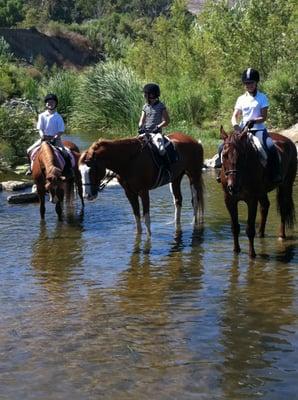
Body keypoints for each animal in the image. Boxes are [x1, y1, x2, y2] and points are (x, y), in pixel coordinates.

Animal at [219, 125, 296, 258]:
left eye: (242, 155)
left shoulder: (251, 200)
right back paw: (261, 233)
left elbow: (250, 229)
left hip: (286, 185)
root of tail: (289, 141)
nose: (233, 187)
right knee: (265, 206)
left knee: (283, 208)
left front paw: (252, 255)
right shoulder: (229, 200)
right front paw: (236, 251)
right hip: (262, 191)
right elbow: (235, 227)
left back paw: (281, 236)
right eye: (224, 155)